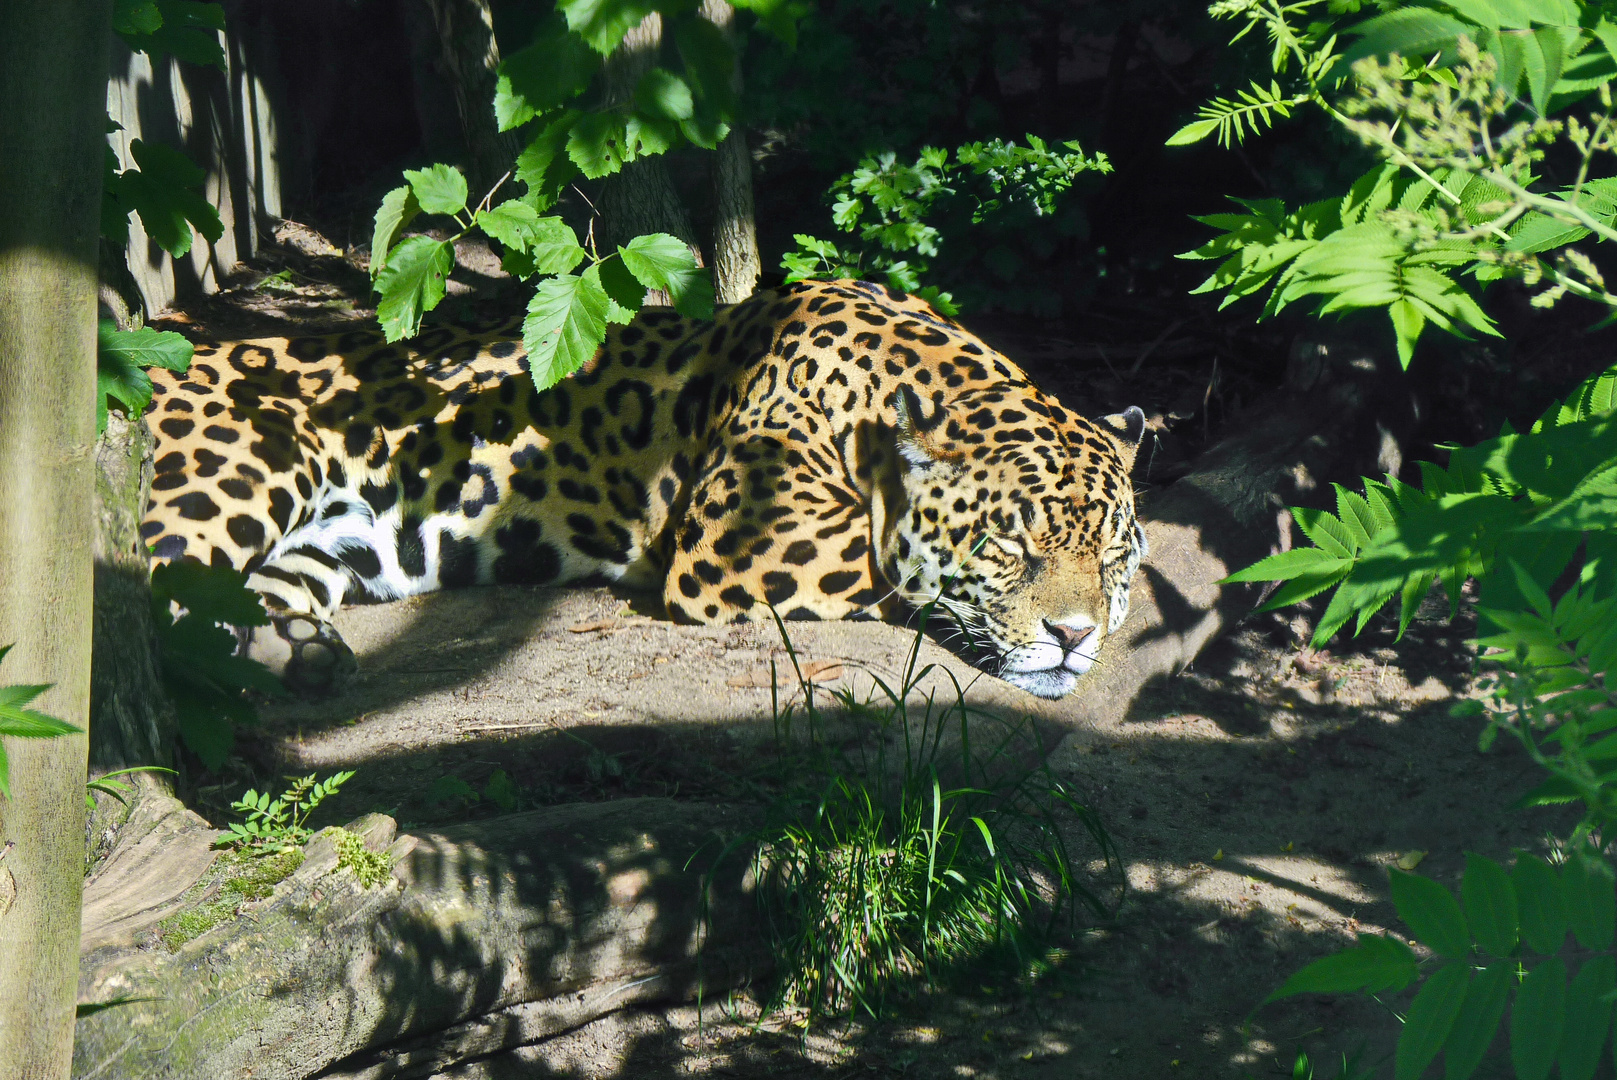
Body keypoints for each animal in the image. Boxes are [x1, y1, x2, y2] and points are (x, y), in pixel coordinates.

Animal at [139, 278, 1147, 701]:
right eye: (1010, 545)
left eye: (1110, 555)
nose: (1072, 636)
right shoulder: (746, 542)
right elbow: (893, 570)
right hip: (240, 475)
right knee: (147, 600)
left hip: (318, 540)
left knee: (241, 599)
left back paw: (295, 657)